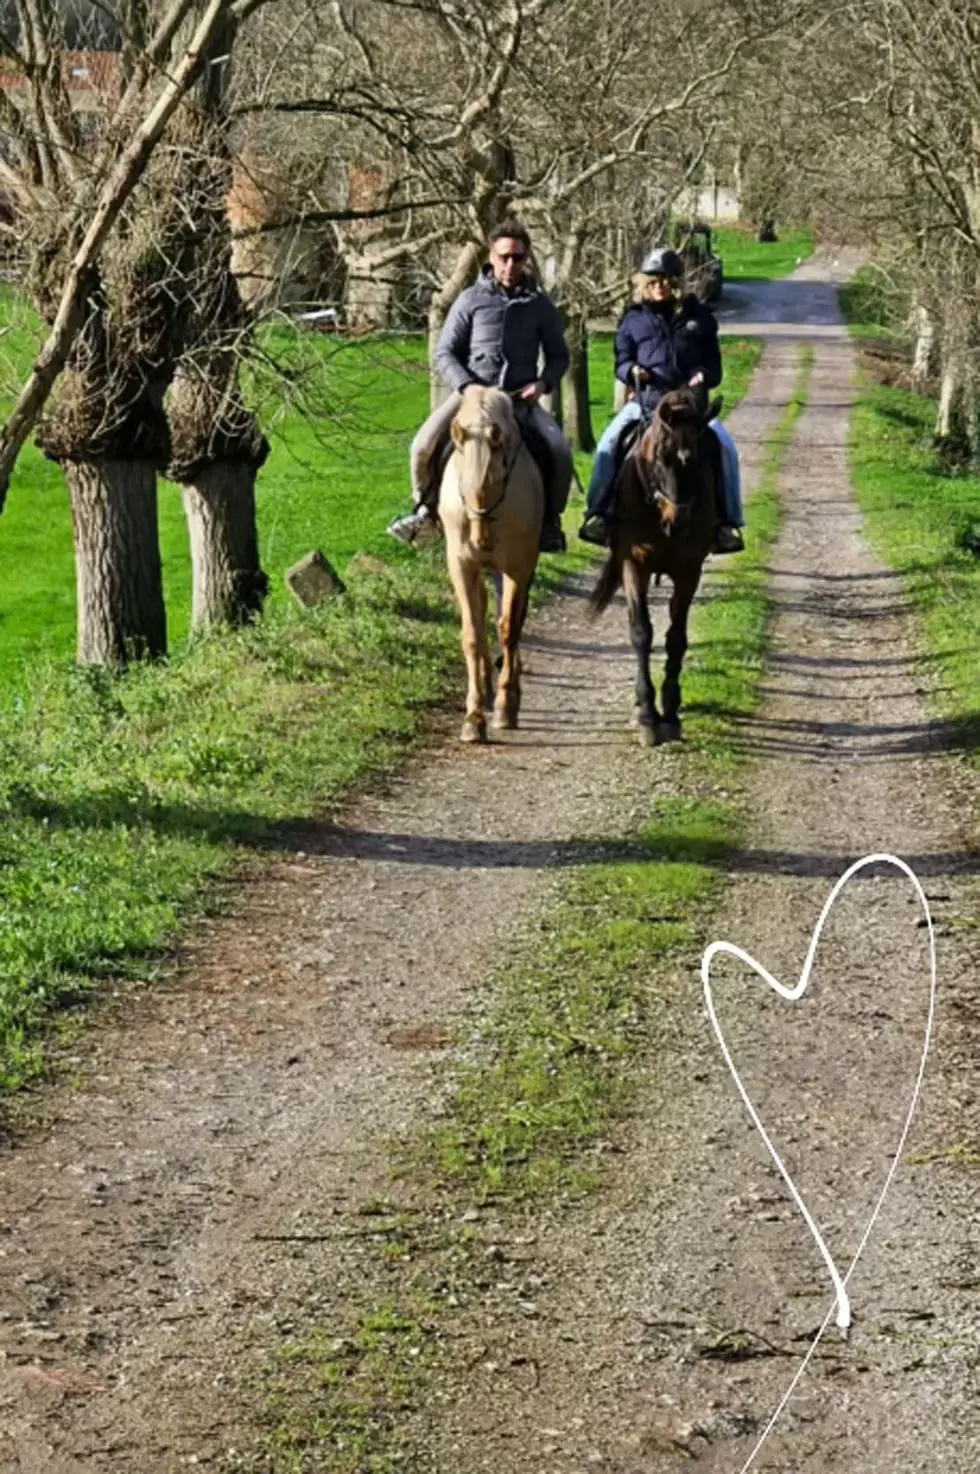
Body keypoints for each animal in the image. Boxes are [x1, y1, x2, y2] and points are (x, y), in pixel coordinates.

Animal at [436, 386, 542, 742]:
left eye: (499, 479)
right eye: (461, 484)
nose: (481, 541)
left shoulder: (518, 567)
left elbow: (508, 628)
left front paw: (506, 708)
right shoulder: (462, 566)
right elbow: (472, 633)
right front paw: (473, 718)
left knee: (510, 619)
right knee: (482, 614)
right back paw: (485, 685)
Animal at [583, 386, 722, 742]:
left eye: (699, 458)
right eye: (661, 457)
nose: (678, 521)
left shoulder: (689, 571)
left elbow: (676, 638)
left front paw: (670, 711)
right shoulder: (634, 564)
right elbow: (641, 632)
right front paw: (647, 714)